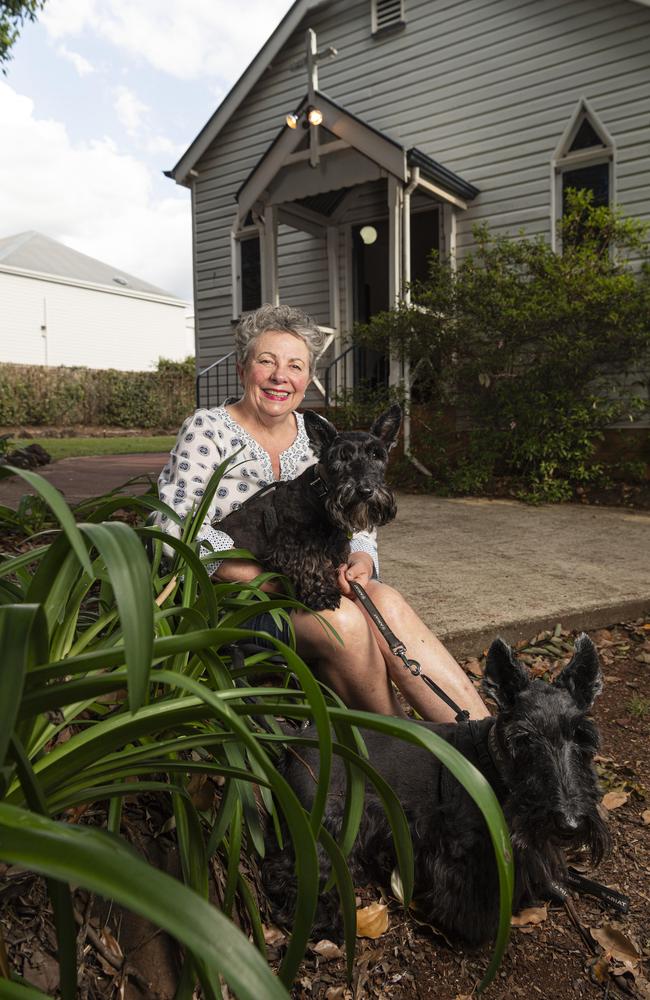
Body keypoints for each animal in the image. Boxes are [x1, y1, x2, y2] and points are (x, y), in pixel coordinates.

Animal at [216, 404, 400, 608]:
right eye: (340, 458)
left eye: (376, 455)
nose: (365, 491)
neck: (320, 494)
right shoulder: (296, 547)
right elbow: (311, 567)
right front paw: (322, 594)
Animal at [262, 632, 608, 944]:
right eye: (523, 740)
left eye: (582, 736)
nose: (569, 823)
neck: (491, 761)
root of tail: (297, 742)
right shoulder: (465, 849)